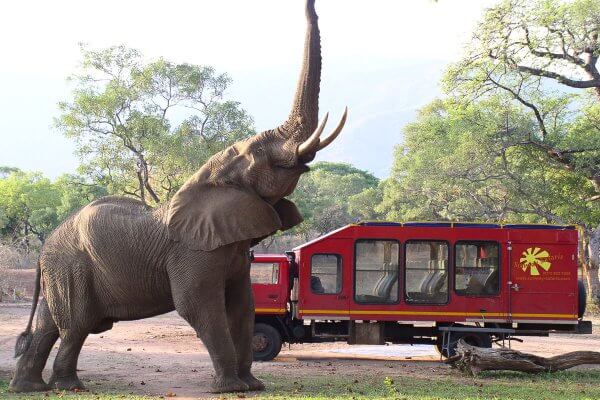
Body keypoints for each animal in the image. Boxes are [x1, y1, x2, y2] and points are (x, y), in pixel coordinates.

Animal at [8, 0, 346, 394]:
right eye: (256, 154)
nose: (310, 5)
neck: (206, 179)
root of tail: (46, 247)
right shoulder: (193, 251)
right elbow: (200, 306)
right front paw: (230, 388)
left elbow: (242, 307)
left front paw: (253, 385)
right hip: (71, 268)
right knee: (75, 324)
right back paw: (68, 386)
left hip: (61, 269)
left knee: (50, 325)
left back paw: (30, 388)